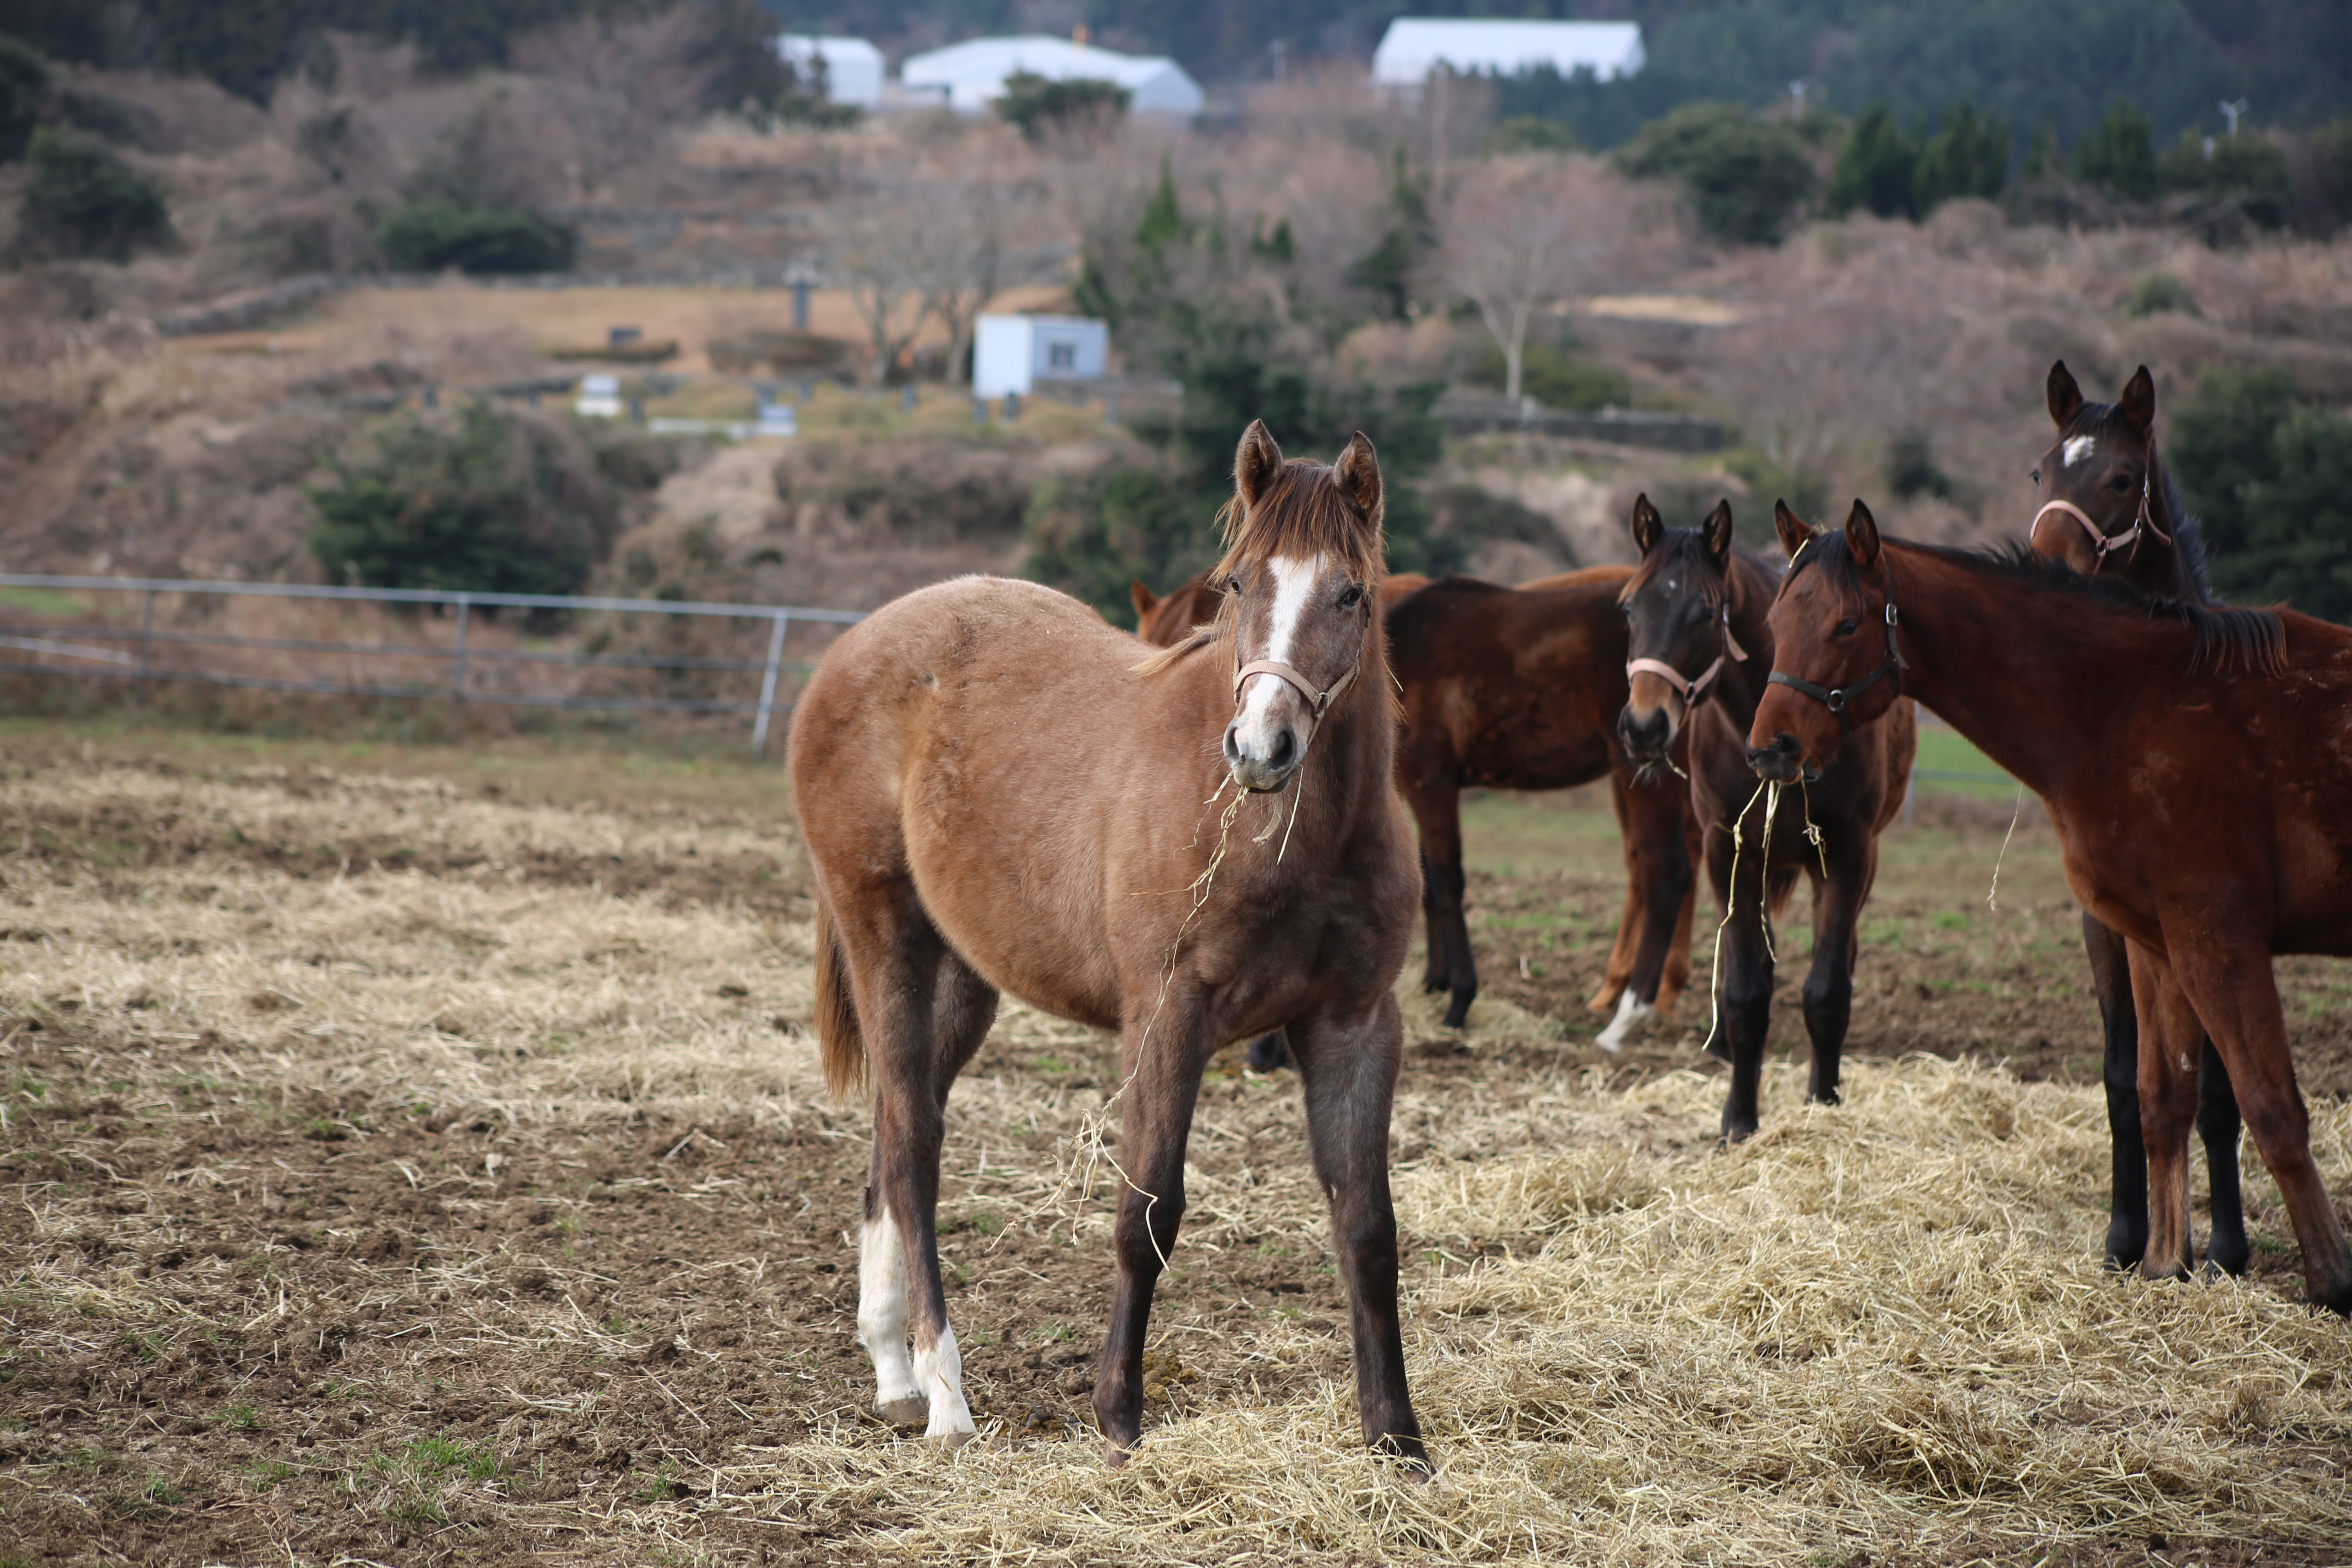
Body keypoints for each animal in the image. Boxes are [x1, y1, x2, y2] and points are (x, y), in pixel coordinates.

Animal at [795, 423, 1430, 1467]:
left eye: (1351, 592)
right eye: (1238, 584)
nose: (1261, 747)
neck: (1294, 841)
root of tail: (855, 646)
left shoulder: (1354, 1024)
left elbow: (1367, 1226)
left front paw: (1398, 1439)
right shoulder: (1167, 1020)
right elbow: (1148, 1211)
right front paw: (1118, 1416)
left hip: (961, 978)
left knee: (893, 1128)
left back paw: (893, 1368)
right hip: (884, 935)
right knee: (916, 1147)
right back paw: (945, 1394)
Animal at [1134, 564, 1703, 1044]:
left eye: (1177, 641)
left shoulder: (1433, 785)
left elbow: (1447, 881)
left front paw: (1460, 1000)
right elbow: (1428, 883)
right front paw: (1437, 982)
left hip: (1640, 773)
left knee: (1665, 874)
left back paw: (1632, 1011)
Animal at [1608, 496, 1919, 1133]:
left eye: (1706, 613)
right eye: (1629, 608)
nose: (1644, 727)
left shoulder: (1848, 852)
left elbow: (1828, 990)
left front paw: (1823, 1103)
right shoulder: (1728, 850)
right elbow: (1746, 990)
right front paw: (1738, 1122)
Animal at [1750, 512, 2352, 1316]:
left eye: (1846, 624)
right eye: (1776, 623)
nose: (1769, 748)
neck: (2130, 706)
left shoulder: (2217, 938)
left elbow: (2272, 1105)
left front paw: (2332, 1281)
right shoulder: (2157, 946)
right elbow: (2164, 1098)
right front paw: (2163, 1266)